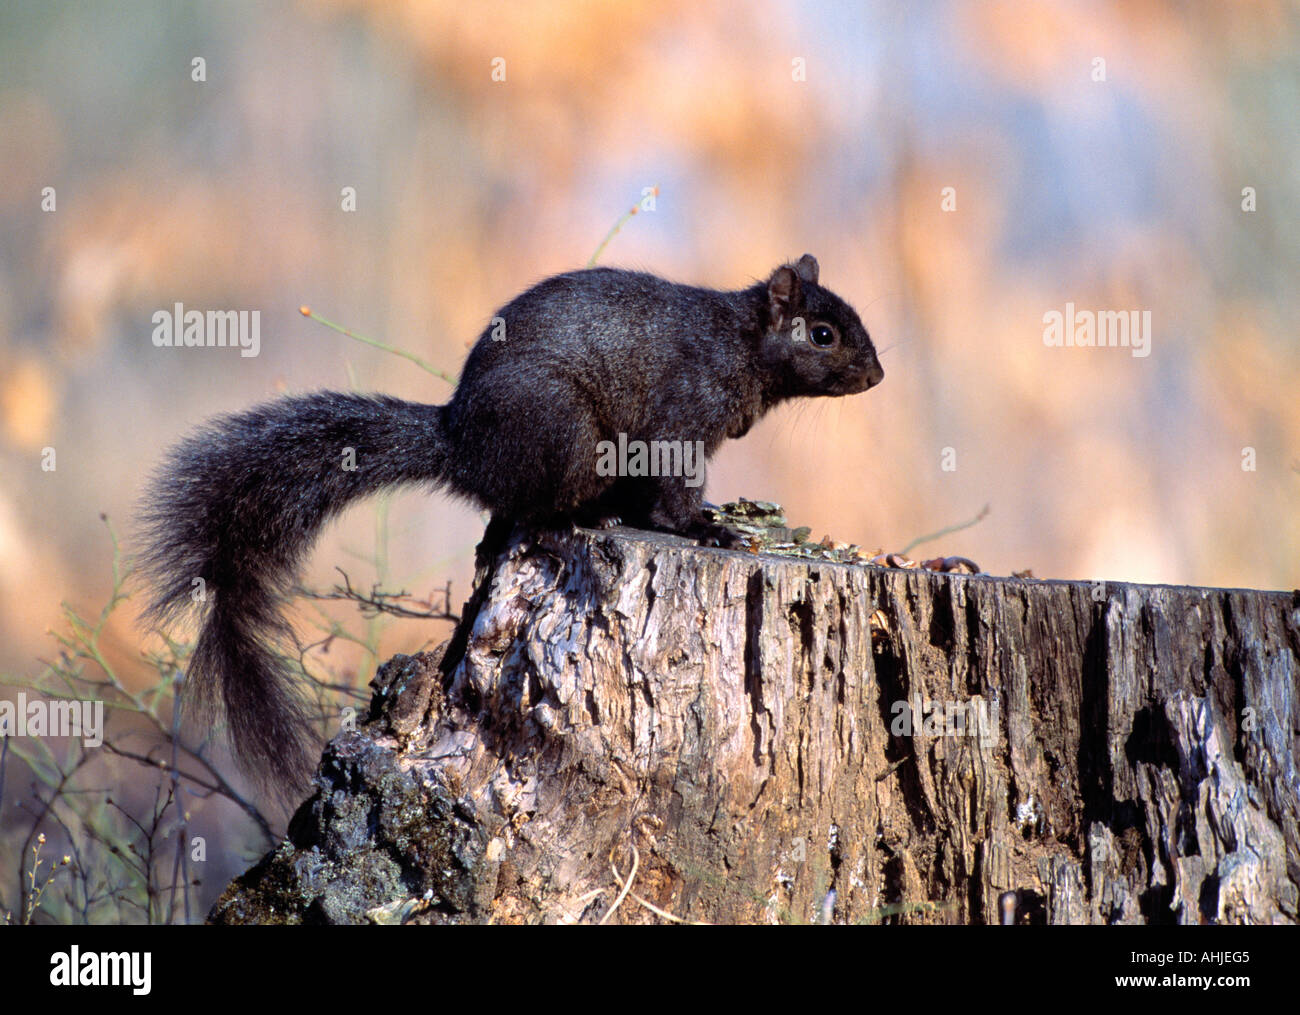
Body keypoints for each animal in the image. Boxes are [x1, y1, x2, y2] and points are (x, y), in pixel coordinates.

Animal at [134, 253, 883, 790]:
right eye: (823, 335)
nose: (876, 376)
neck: (743, 345)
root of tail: (462, 444)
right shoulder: (682, 417)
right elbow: (670, 494)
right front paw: (705, 527)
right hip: (564, 430)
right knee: (529, 505)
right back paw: (577, 517)